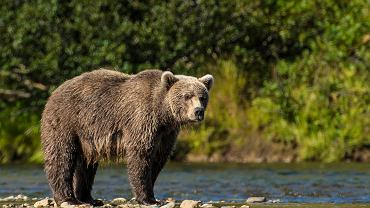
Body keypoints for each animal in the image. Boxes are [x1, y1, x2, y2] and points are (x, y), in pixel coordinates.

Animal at [39, 69, 214, 206]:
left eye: (202, 97)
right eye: (187, 96)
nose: (198, 111)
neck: (163, 114)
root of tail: (54, 92)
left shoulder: (166, 133)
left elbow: (158, 159)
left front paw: (152, 194)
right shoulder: (142, 120)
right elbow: (140, 157)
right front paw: (148, 199)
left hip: (87, 137)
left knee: (86, 165)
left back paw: (89, 199)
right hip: (67, 122)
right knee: (61, 157)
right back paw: (67, 198)